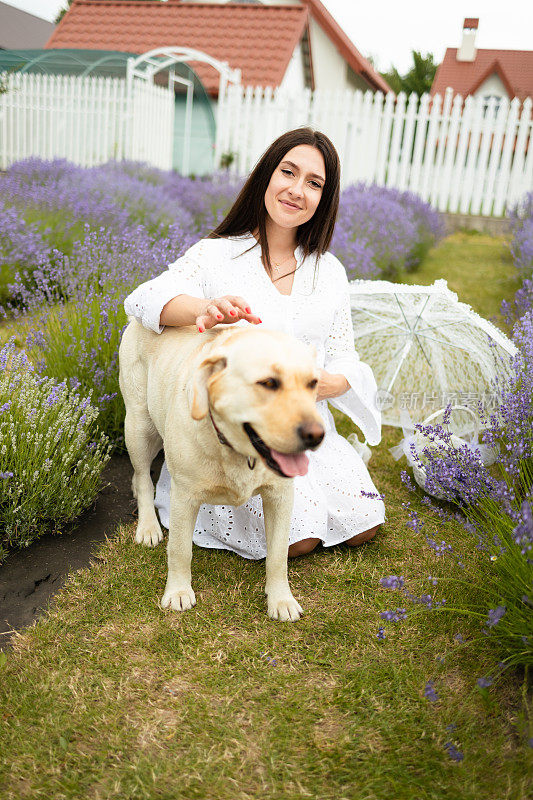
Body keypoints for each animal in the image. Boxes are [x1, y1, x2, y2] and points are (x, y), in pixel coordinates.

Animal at [118, 322, 322, 620]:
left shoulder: (280, 495)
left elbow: (278, 555)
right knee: (143, 477)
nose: (317, 435)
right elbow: (179, 550)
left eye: (313, 383)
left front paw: (281, 599)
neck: (234, 448)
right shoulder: (183, 496)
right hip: (140, 426)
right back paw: (147, 526)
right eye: (269, 383)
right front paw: (178, 591)